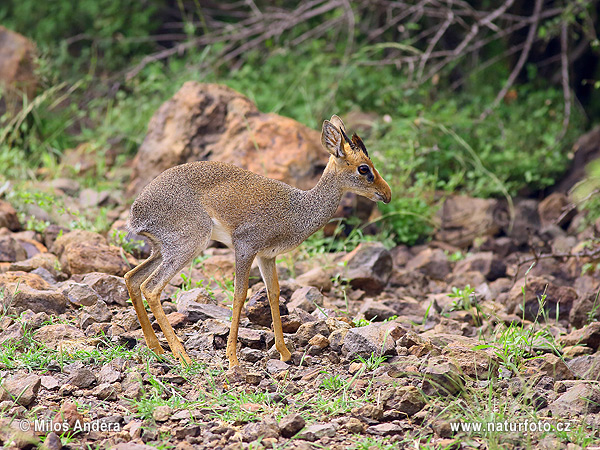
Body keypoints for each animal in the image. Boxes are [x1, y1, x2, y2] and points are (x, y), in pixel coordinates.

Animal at [124, 114, 392, 368]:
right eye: (364, 168)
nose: (387, 194)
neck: (298, 209)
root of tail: (137, 212)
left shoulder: (267, 256)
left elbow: (274, 293)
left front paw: (284, 352)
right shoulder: (245, 247)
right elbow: (239, 294)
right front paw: (232, 358)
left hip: (161, 250)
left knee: (132, 278)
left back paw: (157, 349)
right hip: (188, 245)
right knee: (151, 287)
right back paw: (183, 357)